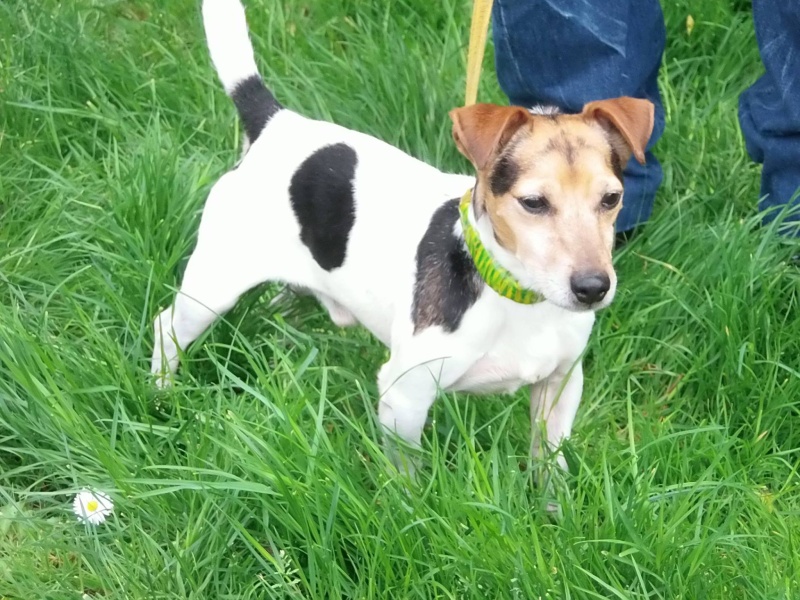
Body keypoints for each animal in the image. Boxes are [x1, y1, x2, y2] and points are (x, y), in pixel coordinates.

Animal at [152, 0, 656, 474]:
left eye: (612, 199)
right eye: (533, 203)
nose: (593, 288)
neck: (517, 298)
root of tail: (278, 123)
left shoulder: (561, 386)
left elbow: (549, 462)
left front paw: (552, 502)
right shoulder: (405, 396)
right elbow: (407, 476)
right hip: (212, 289)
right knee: (166, 328)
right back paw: (160, 396)